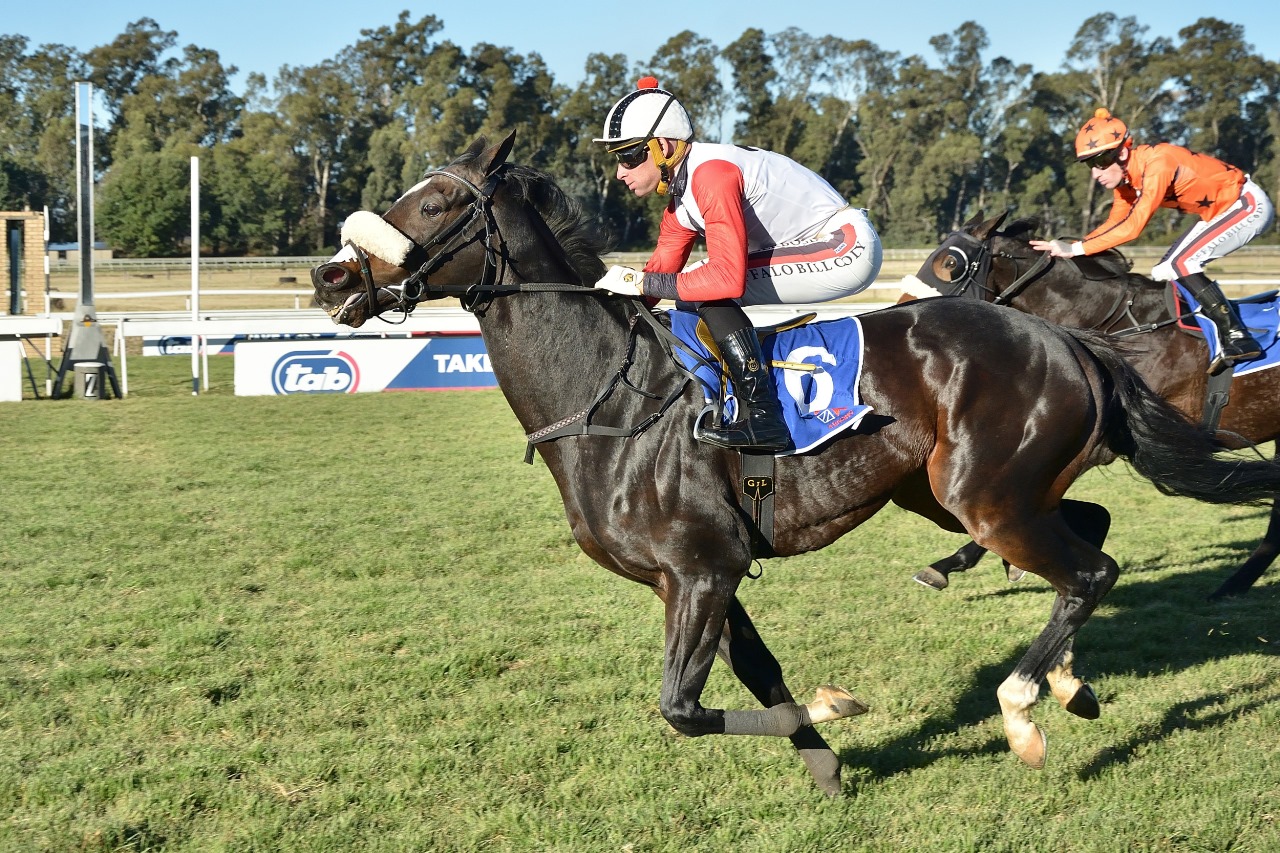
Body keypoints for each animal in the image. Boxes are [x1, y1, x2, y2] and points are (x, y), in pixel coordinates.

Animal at [309, 133, 1280, 788]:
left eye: (436, 205)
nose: (331, 276)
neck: (609, 401)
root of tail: (1068, 340)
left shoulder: (701, 567)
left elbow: (682, 706)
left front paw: (831, 706)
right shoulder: (698, 571)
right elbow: (751, 675)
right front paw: (824, 759)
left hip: (984, 493)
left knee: (1092, 569)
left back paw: (1023, 707)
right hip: (955, 491)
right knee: (1089, 533)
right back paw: (1070, 683)